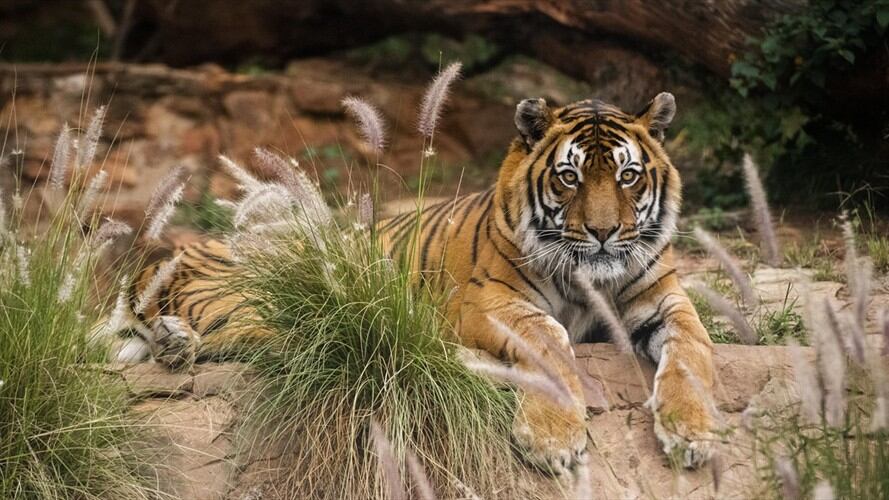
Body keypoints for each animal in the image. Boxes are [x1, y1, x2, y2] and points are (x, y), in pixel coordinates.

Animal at [119, 92, 717, 475]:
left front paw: (694, 432)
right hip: (255, 293)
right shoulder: (488, 301)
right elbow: (550, 340)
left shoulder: (665, 299)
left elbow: (694, 349)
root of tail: (169, 257)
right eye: (569, 177)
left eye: (627, 175)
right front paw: (552, 437)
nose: (602, 232)